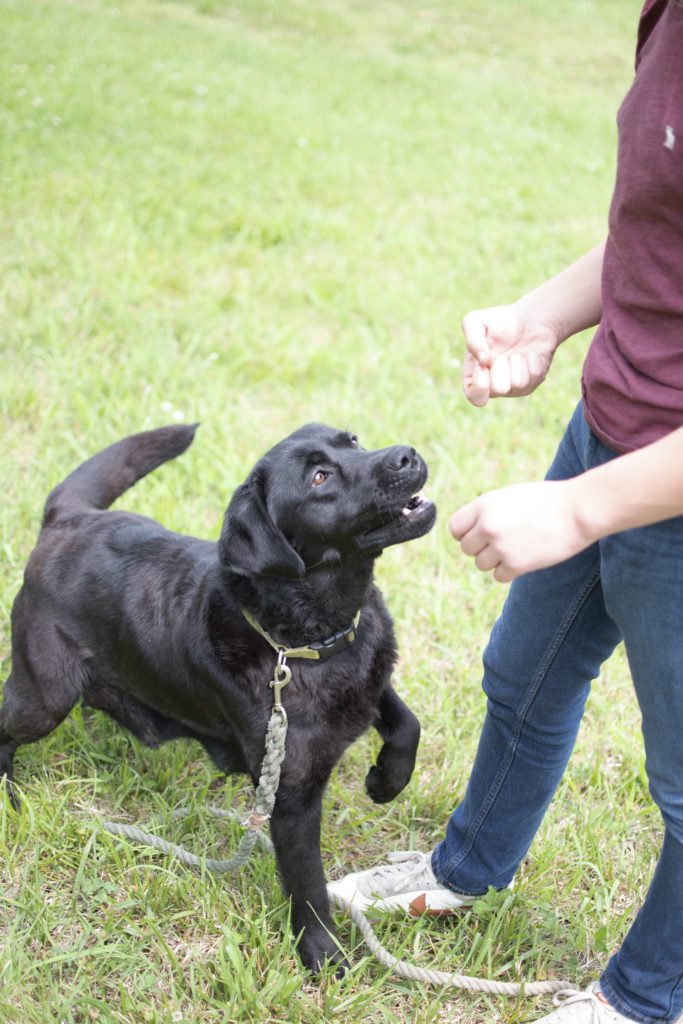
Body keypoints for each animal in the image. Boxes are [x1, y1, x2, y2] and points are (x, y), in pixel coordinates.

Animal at [0, 419, 436, 970]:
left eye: (353, 441)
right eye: (318, 478)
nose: (406, 455)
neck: (304, 637)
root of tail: (68, 517)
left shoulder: (370, 675)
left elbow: (406, 723)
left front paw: (387, 781)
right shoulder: (290, 798)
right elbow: (308, 884)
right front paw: (322, 954)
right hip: (46, 693)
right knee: (6, 729)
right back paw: (8, 793)